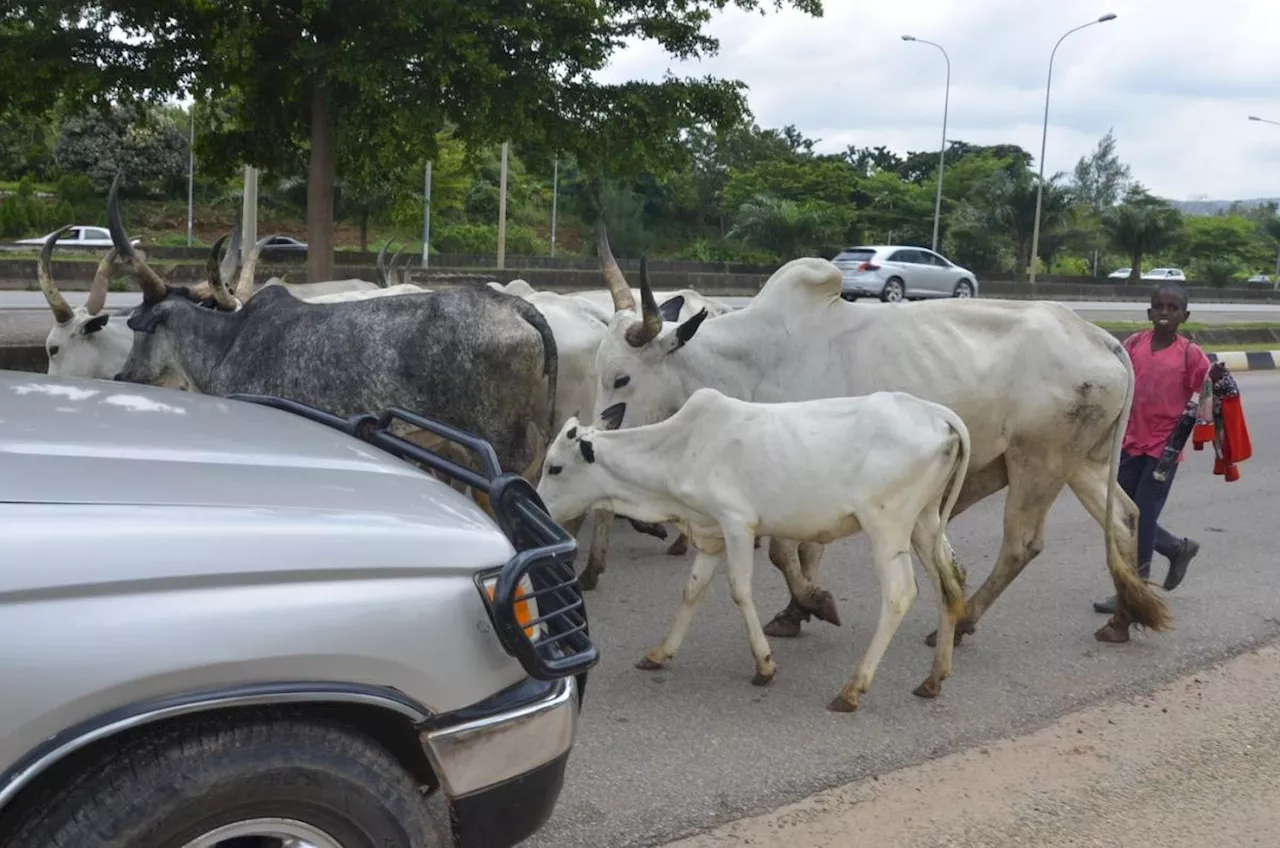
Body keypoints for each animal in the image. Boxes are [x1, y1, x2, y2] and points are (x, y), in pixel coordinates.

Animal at [537, 389, 967, 712]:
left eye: (554, 467)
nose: (539, 508)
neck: (679, 450)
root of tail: (935, 413)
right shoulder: (710, 533)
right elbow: (692, 591)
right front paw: (660, 653)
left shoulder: (736, 524)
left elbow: (740, 591)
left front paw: (764, 665)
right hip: (924, 522)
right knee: (949, 585)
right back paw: (934, 678)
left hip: (886, 526)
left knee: (899, 594)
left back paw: (853, 688)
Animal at [586, 230, 1172, 645]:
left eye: (622, 379)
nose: (594, 441)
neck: (750, 359)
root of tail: (1099, 336)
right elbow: (796, 551)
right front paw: (795, 611)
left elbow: (786, 551)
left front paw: (812, 603)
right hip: (1084, 461)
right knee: (1125, 518)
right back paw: (1122, 619)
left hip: (1039, 460)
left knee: (1022, 543)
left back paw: (962, 622)